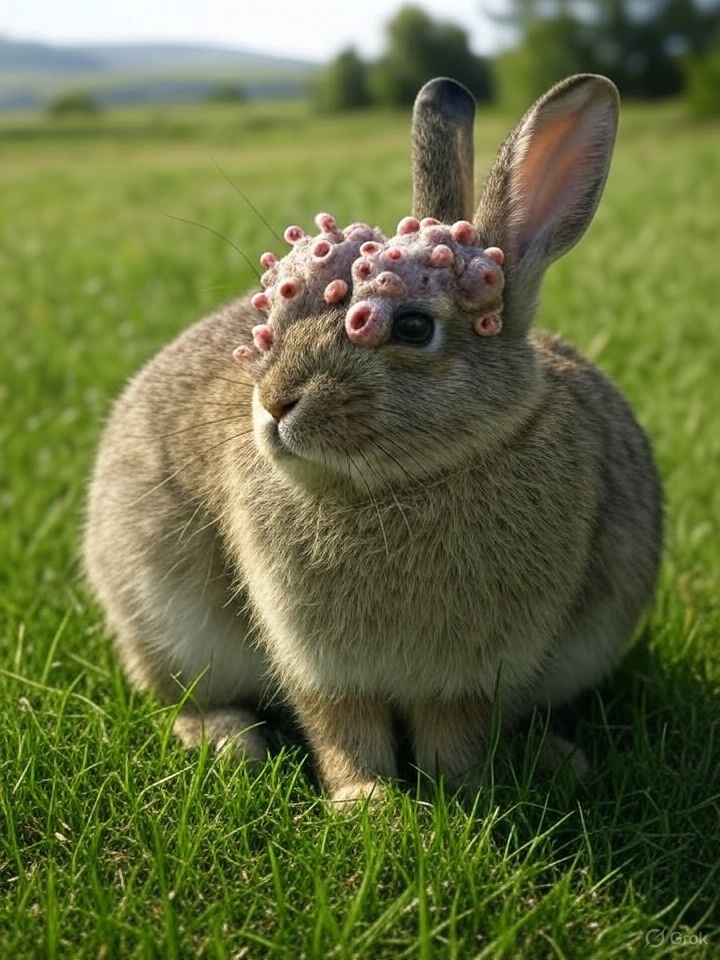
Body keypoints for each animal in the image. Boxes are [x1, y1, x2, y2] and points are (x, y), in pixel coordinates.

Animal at [84, 74, 662, 805]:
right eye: (276, 318)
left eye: (413, 327)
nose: (276, 403)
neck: (400, 483)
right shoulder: (319, 663)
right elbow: (341, 726)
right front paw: (369, 804)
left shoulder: (468, 675)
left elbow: (452, 730)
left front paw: (458, 793)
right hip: (159, 616)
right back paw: (227, 740)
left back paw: (553, 758)